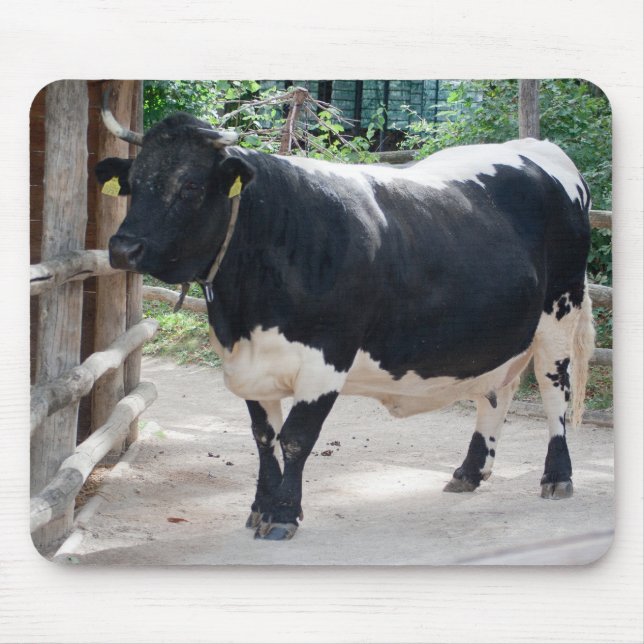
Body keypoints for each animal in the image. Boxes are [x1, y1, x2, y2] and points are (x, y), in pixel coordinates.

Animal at [95, 96, 595, 540]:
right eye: (133, 182)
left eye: (191, 186)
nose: (123, 248)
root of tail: (538, 148)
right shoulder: (252, 366)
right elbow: (263, 437)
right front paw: (259, 508)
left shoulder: (326, 358)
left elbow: (296, 438)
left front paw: (283, 515)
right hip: (503, 331)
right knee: (498, 390)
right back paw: (470, 471)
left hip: (560, 311)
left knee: (554, 389)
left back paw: (557, 476)